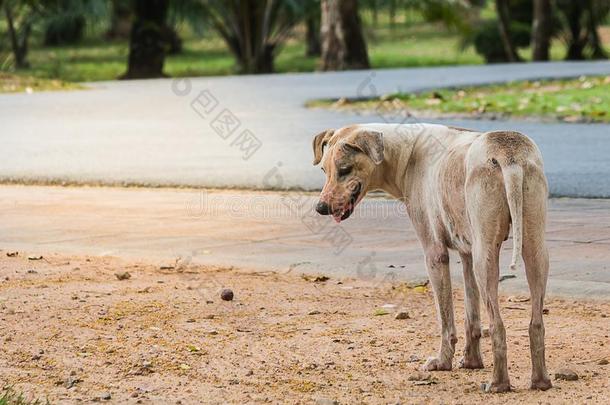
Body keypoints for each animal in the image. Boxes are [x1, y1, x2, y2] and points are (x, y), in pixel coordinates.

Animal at [314, 123, 552, 392]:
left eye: (345, 170)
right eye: (323, 170)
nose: (320, 208)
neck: (406, 152)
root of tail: (508, 155)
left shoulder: (435, 253)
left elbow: (445, 318)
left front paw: (442, 361)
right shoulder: (468, 254)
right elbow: (471, 315)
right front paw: (471, 361)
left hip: (486, 256)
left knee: (497, 325)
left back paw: (499, 383)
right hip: (532, 247)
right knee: (535, 321)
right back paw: (540, 381)